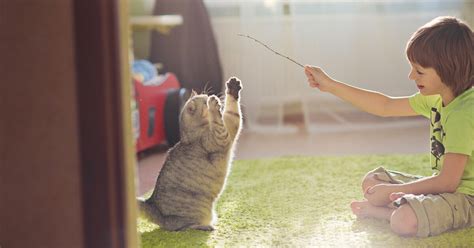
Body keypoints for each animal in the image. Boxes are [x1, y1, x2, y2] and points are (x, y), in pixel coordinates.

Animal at [136, 76, 241, 232]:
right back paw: (206, 226)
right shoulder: (221, 136)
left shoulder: (230, 124)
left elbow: (232, 110)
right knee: (184, 228)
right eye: (204, 101)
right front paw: (213, 105)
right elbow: (218, 120)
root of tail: (153, 205)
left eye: (205, 95)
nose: (210, 96)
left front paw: (233, 87)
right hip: (198, 214)